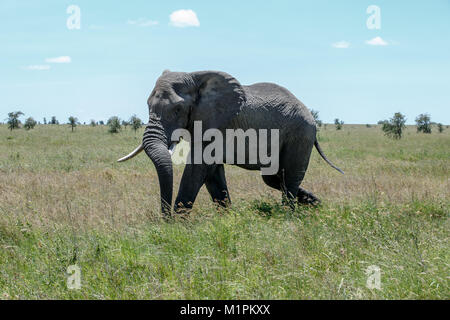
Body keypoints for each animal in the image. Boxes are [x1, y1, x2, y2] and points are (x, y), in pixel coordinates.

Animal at [118, 70, 342, 215]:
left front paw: (179, 225)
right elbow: (211, 173)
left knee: (289, 177)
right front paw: (227, 218)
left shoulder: (218, 123)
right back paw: (316, 203)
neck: (195, 77)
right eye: (147, 105)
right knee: (273, 178)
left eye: (178, 109)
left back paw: (290, 216)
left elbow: (197, 169)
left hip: (300, 134)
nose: (165, 218)